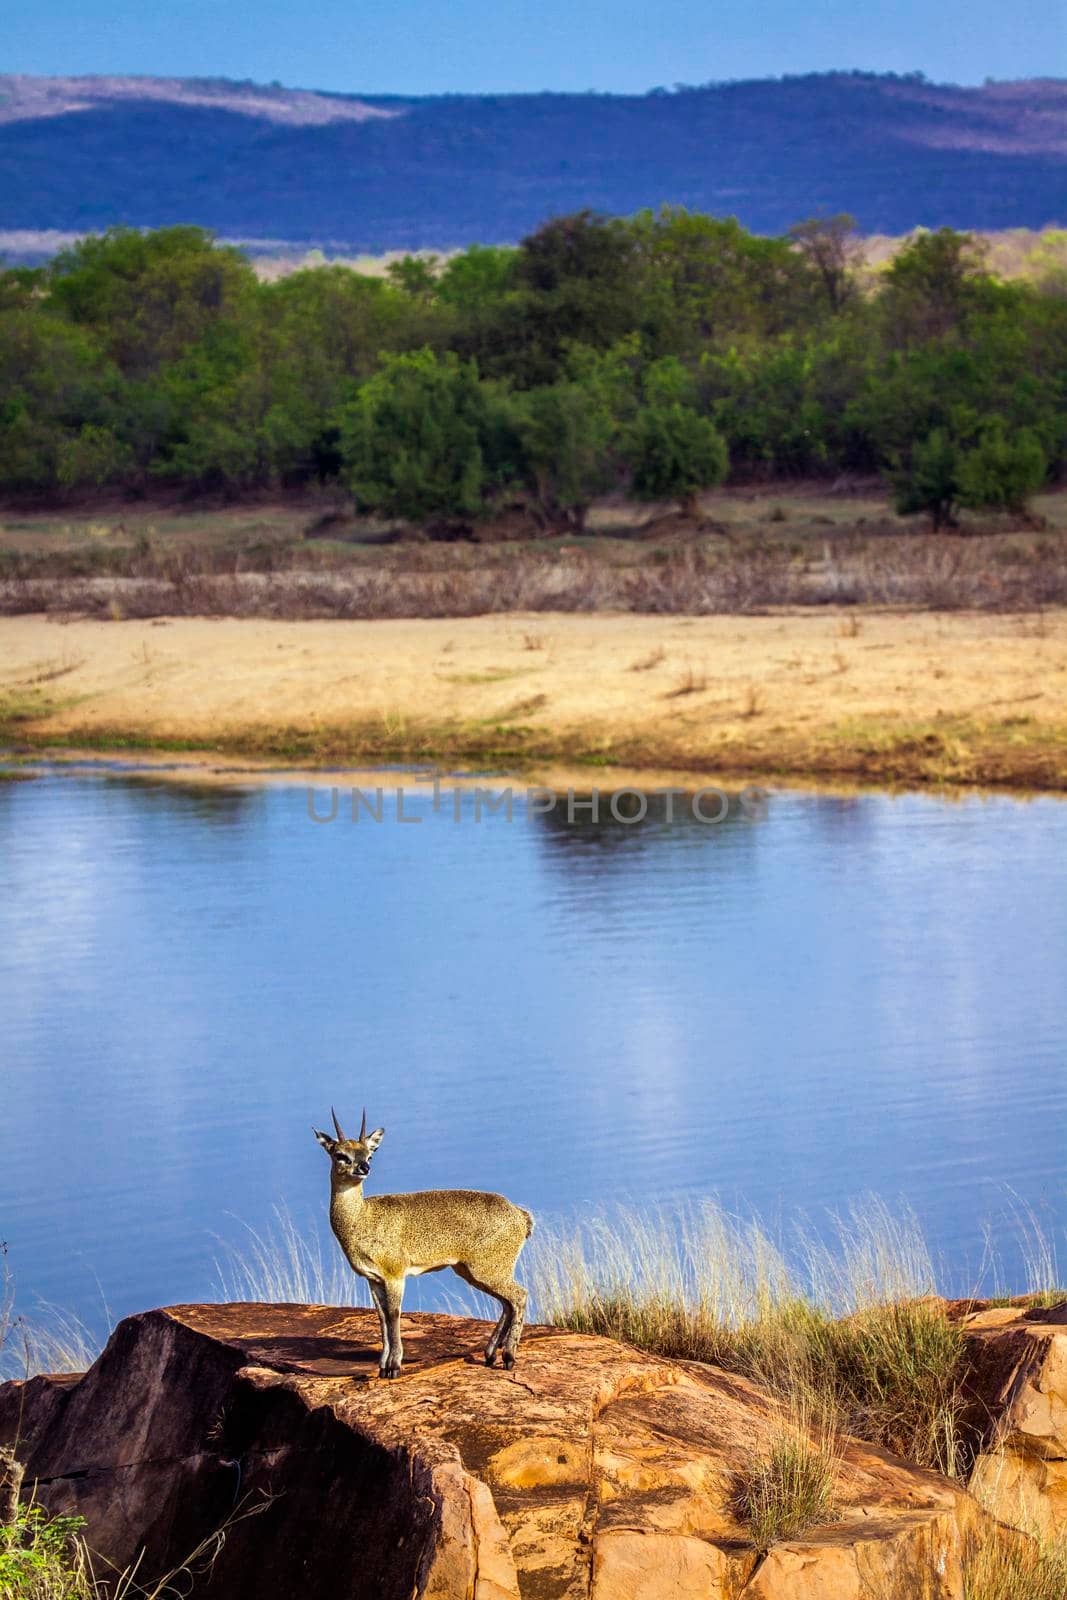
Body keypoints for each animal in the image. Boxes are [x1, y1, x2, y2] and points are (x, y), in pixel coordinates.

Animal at [315, 1113, 534, 1376]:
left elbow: (394, 1314)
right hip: (473, 1270)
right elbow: (381, 1316)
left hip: (488, 1269)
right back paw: (491, 1355)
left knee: (519, 1296)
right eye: (340, 1154)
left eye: (369, 1154)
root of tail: (522, 1216)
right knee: (507, 1302)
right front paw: (382, 1366)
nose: (364, 1168)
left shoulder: (395, 1274)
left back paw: (509, 1357)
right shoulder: (372, 1278)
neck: (362, 1218)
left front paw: (394, 1366)